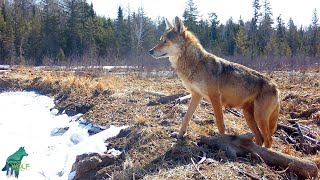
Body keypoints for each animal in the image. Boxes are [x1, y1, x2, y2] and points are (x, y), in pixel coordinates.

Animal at [149, 16, 278, 148]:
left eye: (165, 41)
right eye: (160, 40)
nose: (150, 51)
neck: (196, 64)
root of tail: (276, 87)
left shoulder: (215, 97)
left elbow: (220, 124)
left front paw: (221, 142)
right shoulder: (196, 95)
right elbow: (186, 118)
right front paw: (179, 136)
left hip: (259, 117)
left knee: (268, 139)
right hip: (249, 116)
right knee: (260, 138)